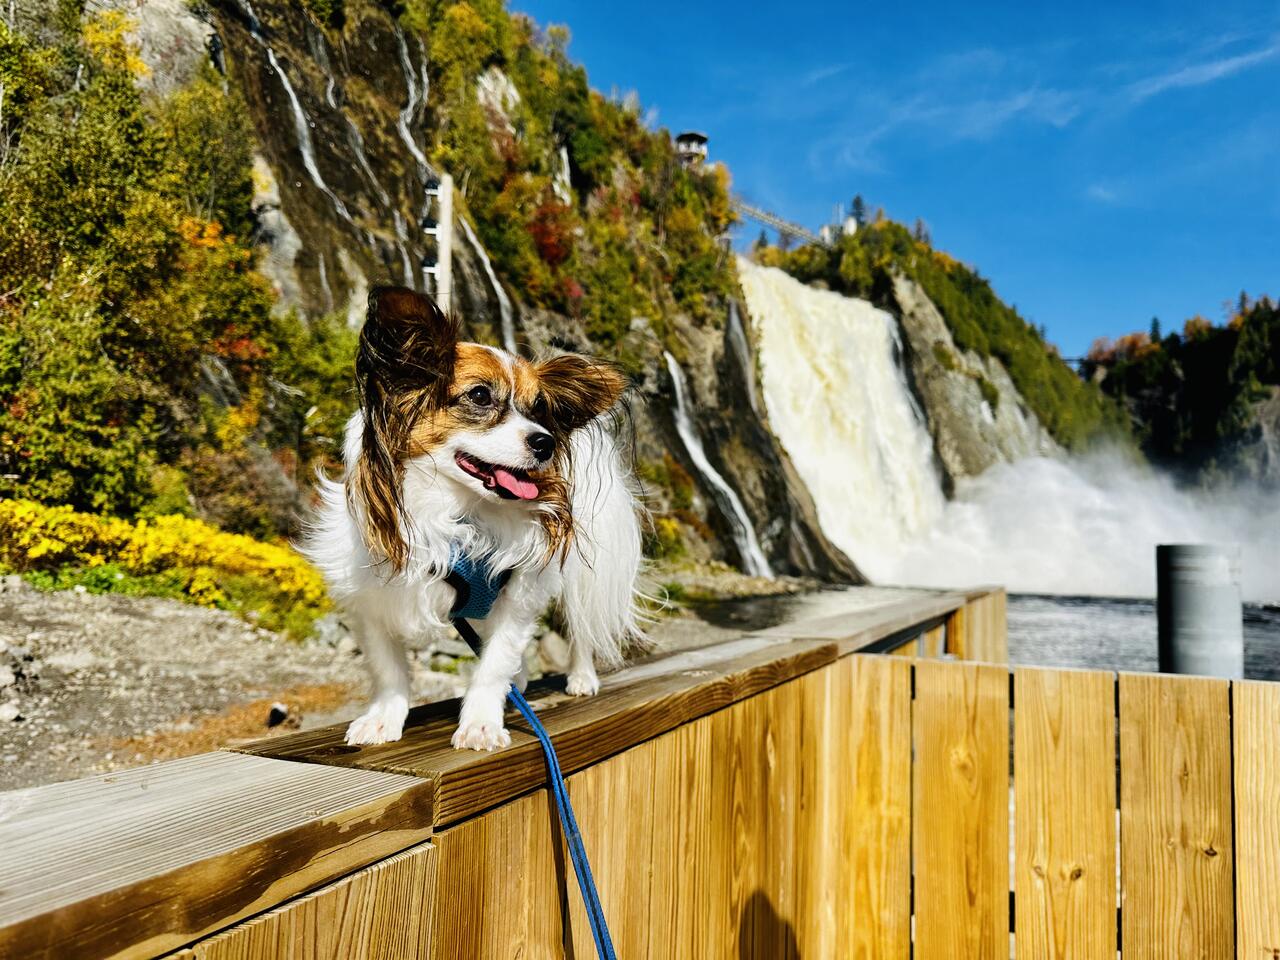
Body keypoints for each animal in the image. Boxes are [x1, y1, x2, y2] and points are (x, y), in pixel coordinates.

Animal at [296, 285, 640, 752]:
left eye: (539, 410)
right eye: (479, 396)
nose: (546, 442)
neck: (458, 513)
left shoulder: (521, 591)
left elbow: (495, 662)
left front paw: (480, 724)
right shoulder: (369, 597)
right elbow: (388, 668)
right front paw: (383, 719)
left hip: (575, 582)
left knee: (579, 628)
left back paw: (581, 677)